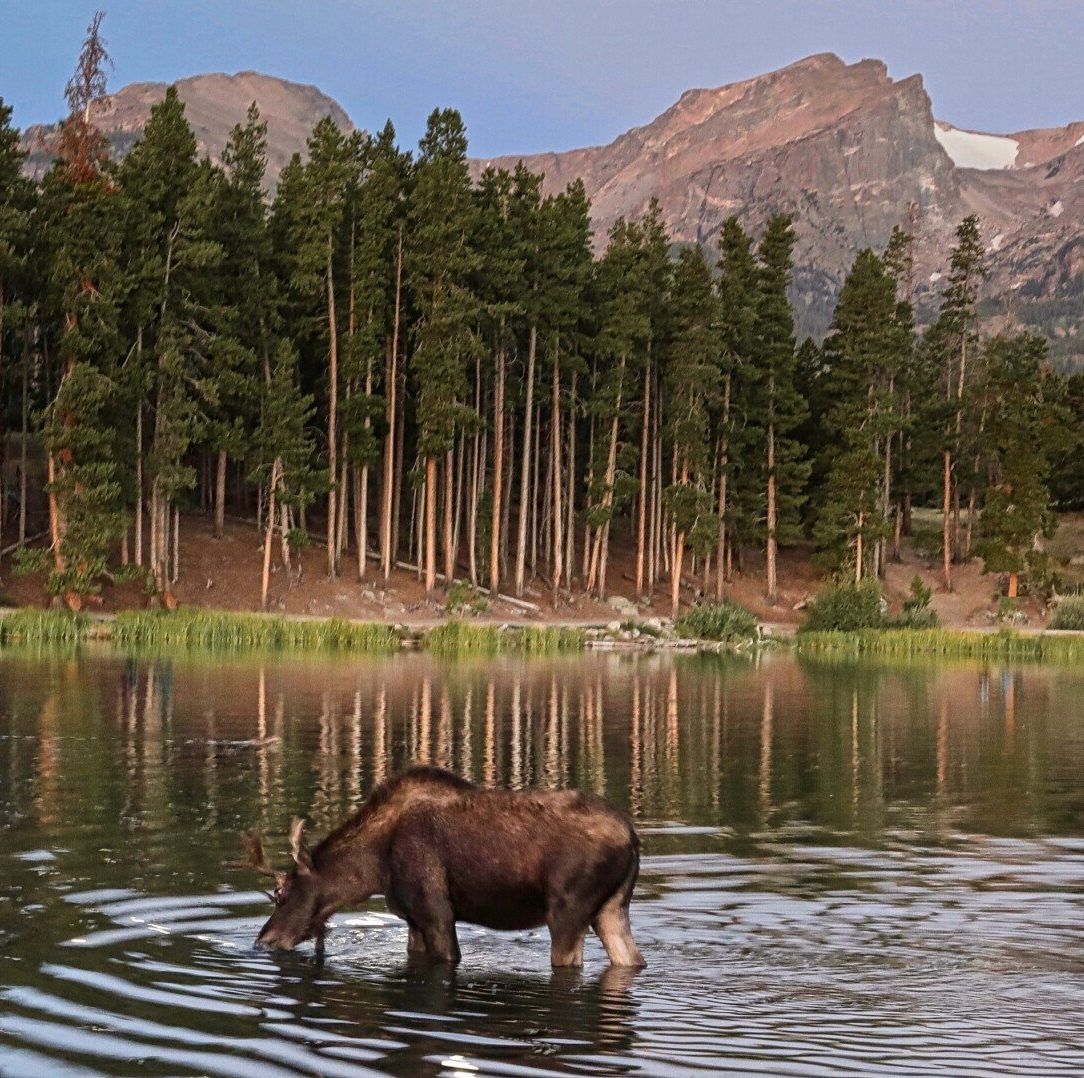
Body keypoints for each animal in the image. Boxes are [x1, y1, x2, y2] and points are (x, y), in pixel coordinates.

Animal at [235, 766, 644, 969]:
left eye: (282, 894)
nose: (264, 941)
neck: (373, 869)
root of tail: (633, 838)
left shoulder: (436, 912)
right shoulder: (413, 918)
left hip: (567, 910)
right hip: (612, 908)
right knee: (631, 960)